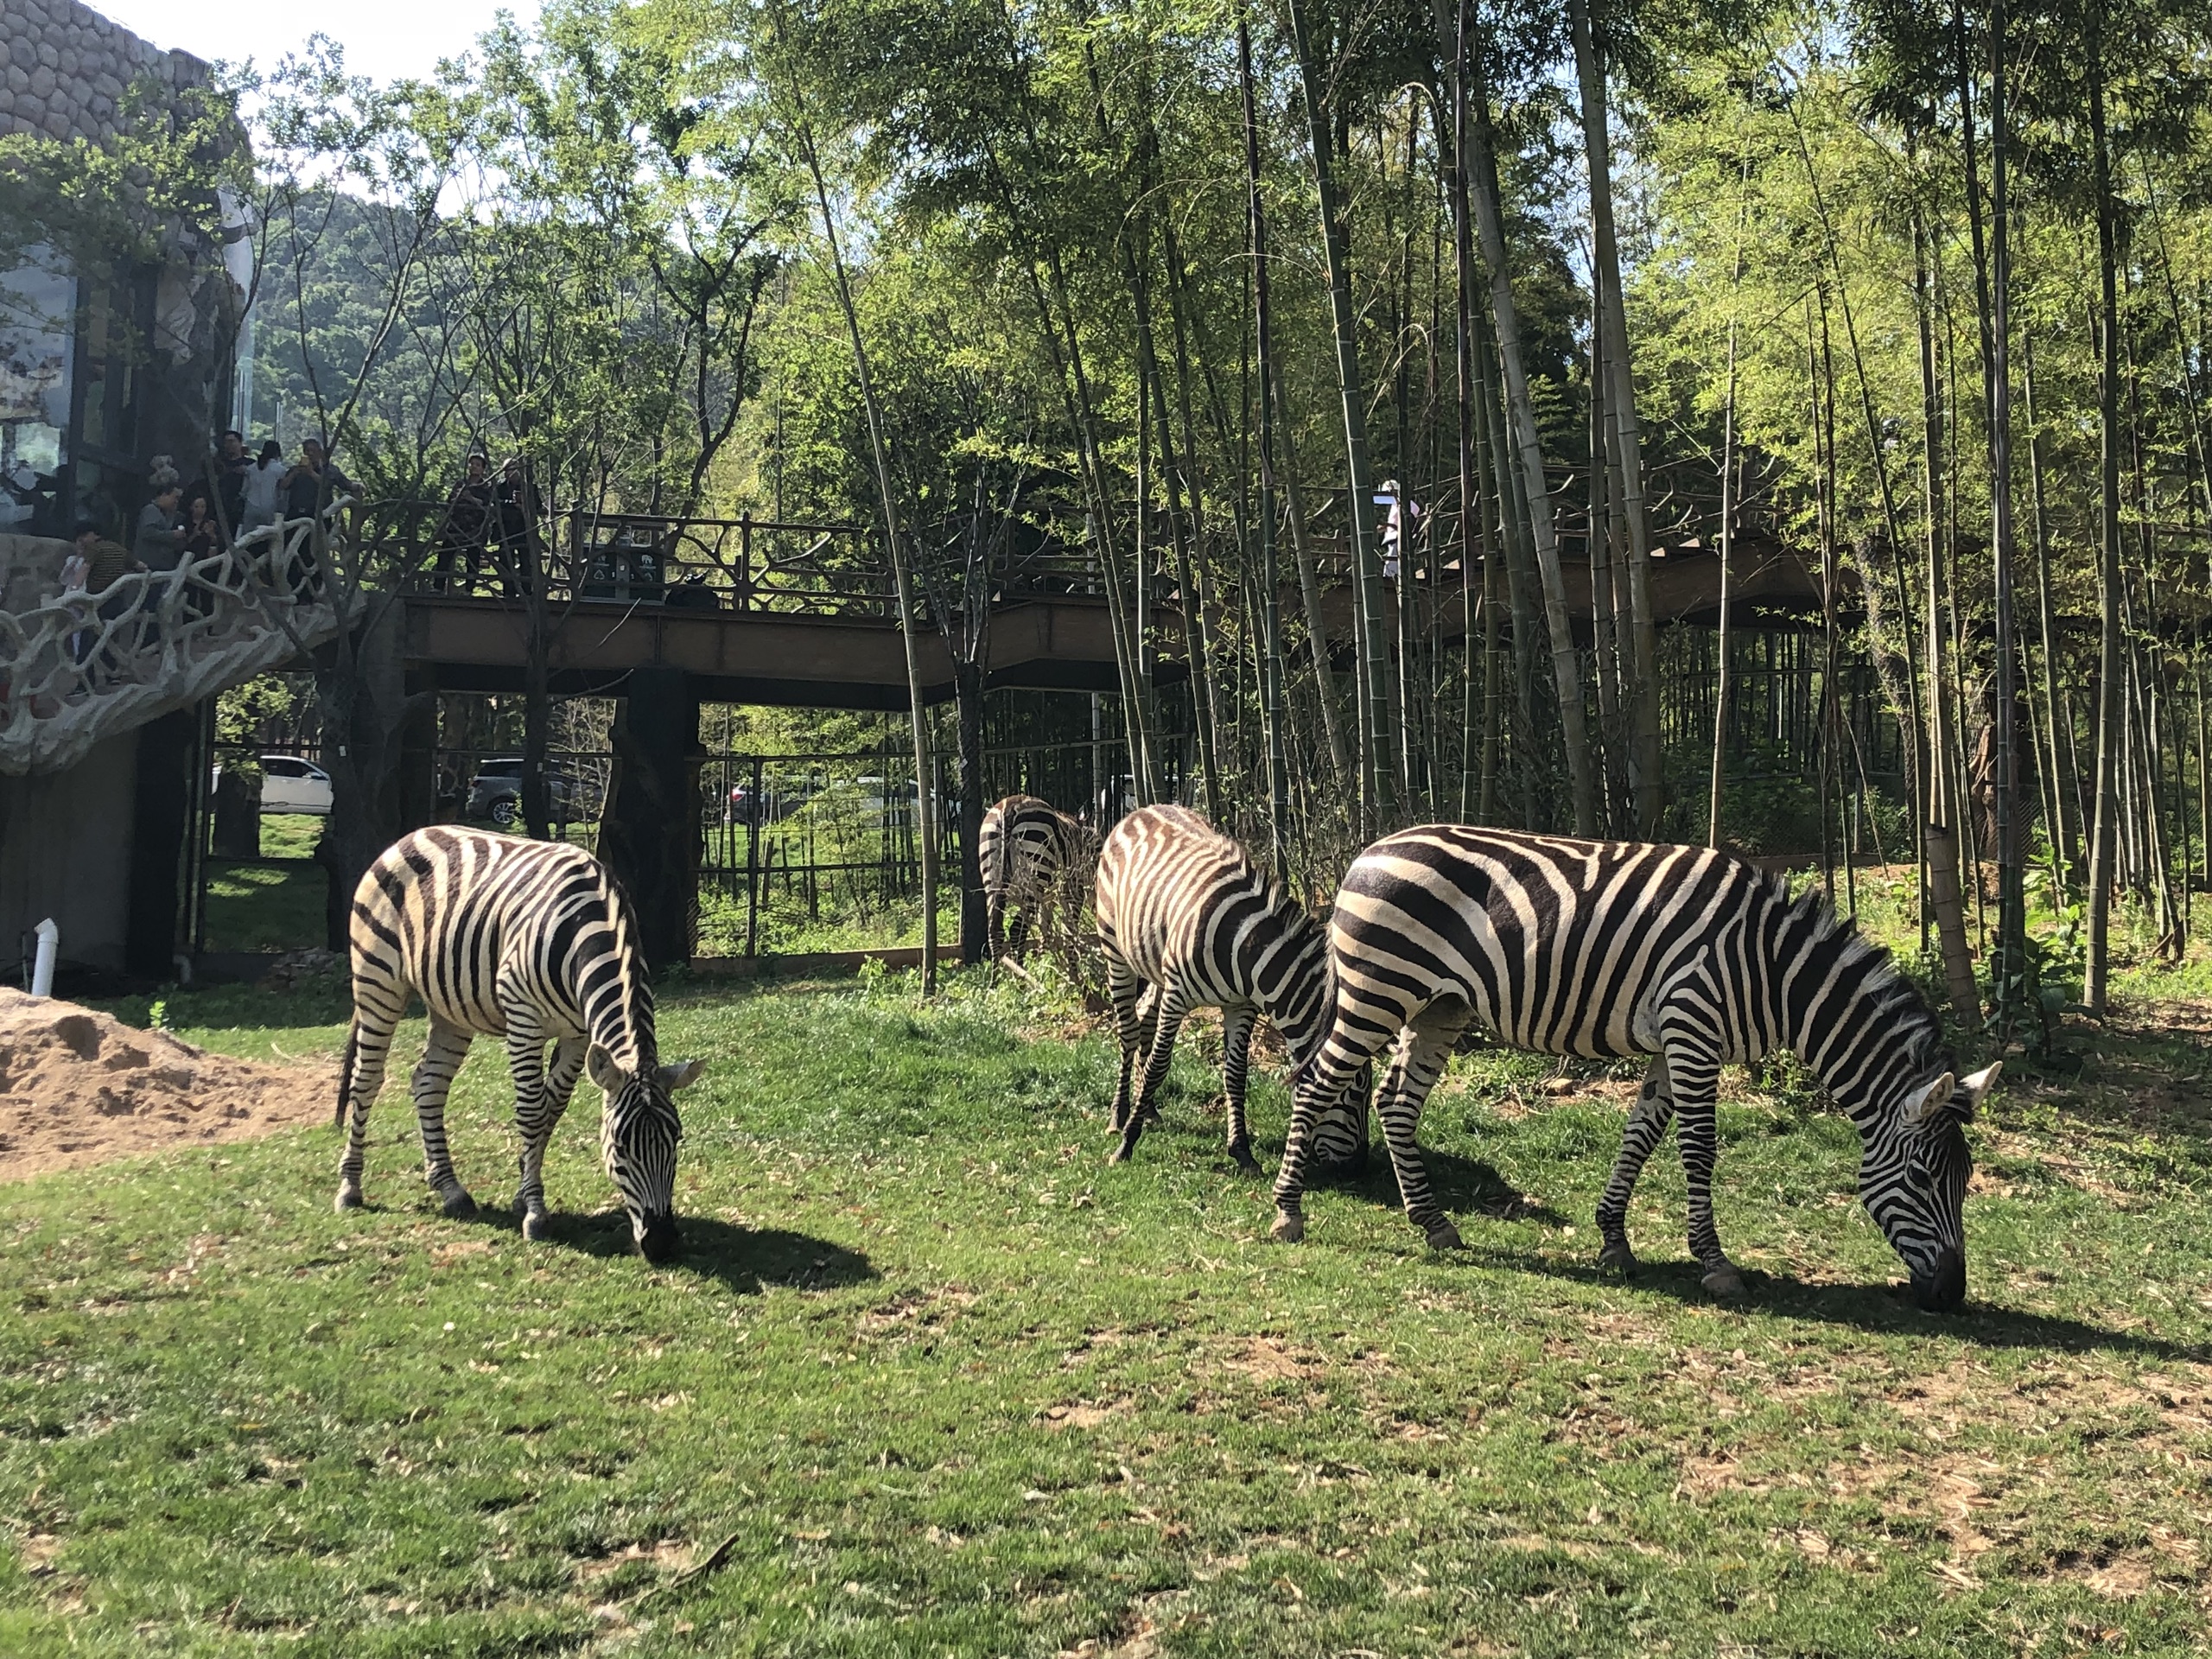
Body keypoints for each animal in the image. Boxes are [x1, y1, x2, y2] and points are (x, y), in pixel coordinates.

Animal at [334, 827, 708, 1265]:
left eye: (676, 1140)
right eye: (619, 1146)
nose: (662, 1243)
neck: (585, 928)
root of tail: (411, 836)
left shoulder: (578, 1034)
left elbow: (551, 1109)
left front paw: (523, 1193)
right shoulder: (524, 1019)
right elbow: (530, 1112)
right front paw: (534, 1214)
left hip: (450, 1007)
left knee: (428, 1083)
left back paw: (450, 1189)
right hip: (377, 981)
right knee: (366, 1081)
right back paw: (350, 1187)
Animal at [982, 800, 1092, 969]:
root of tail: (1008, 807)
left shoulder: (1049, 897)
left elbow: (1045, 924)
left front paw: (1045, 959)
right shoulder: (1073, 890)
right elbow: (1070, 927)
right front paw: (1070, 962)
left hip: (992, 881)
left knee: (995, 931)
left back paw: (998, 976)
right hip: (1034, 872)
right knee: (1017, 930)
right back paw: (1022, 973)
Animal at [1092, 804, 1362, 1167]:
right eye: (1353, 1092)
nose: (1360, 1163)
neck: (1246, 949)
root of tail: (1141, 810)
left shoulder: (1240, 1005)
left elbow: (1236, 1074)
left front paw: (1243, 1151)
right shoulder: (1177, 996)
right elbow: (1158, 1066)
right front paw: (1126, 1144)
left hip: (1155, 962)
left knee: (1145, 1017)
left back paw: (1148, 1110)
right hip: (1116, 952)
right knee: (1129, 1031)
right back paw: (1119, 1115)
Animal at [1274, 831, 1999, 1309]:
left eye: (1965, 1180)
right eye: (1922, 1177)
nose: (1951, 1295)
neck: (1775, 971)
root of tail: (1370, 850)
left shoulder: (1673, 1042)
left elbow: (1640, 1138)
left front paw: (1613, 1240)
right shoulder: (1693, 1027)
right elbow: (1698, 1149)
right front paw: (1715, 1262)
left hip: (1438, 1007)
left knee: (1396, 1100)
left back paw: (1434, 1225)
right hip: (1379, 990)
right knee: (1315, 1081)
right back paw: (1287, 1214)